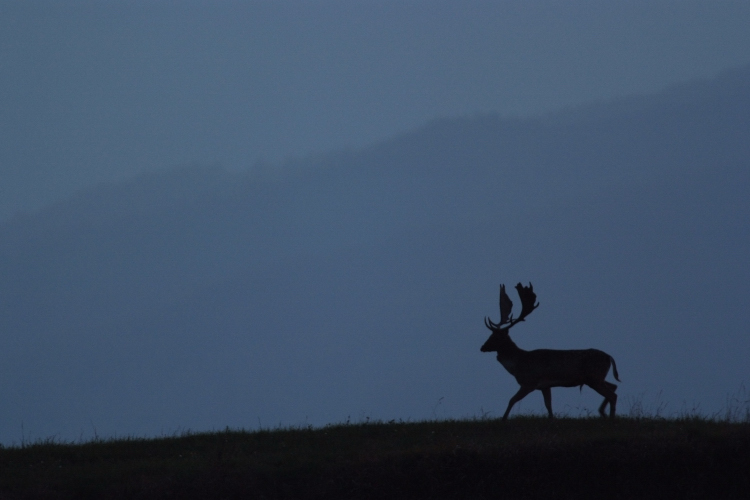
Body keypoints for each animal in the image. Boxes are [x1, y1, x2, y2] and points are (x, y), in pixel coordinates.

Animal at [482, 284, 624, 420]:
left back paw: (610, 417)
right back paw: (603, 413)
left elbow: (512, 400)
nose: (482, 347)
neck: (519, 364)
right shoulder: (545, 386)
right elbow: (548, 405)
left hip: (594, 377)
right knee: (613, 387)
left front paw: (503, 419)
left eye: (496, 337)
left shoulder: (530, 382)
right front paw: (551, 419)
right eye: (490, 335)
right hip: (596, 378)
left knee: (613, 395)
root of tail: (609, 357)